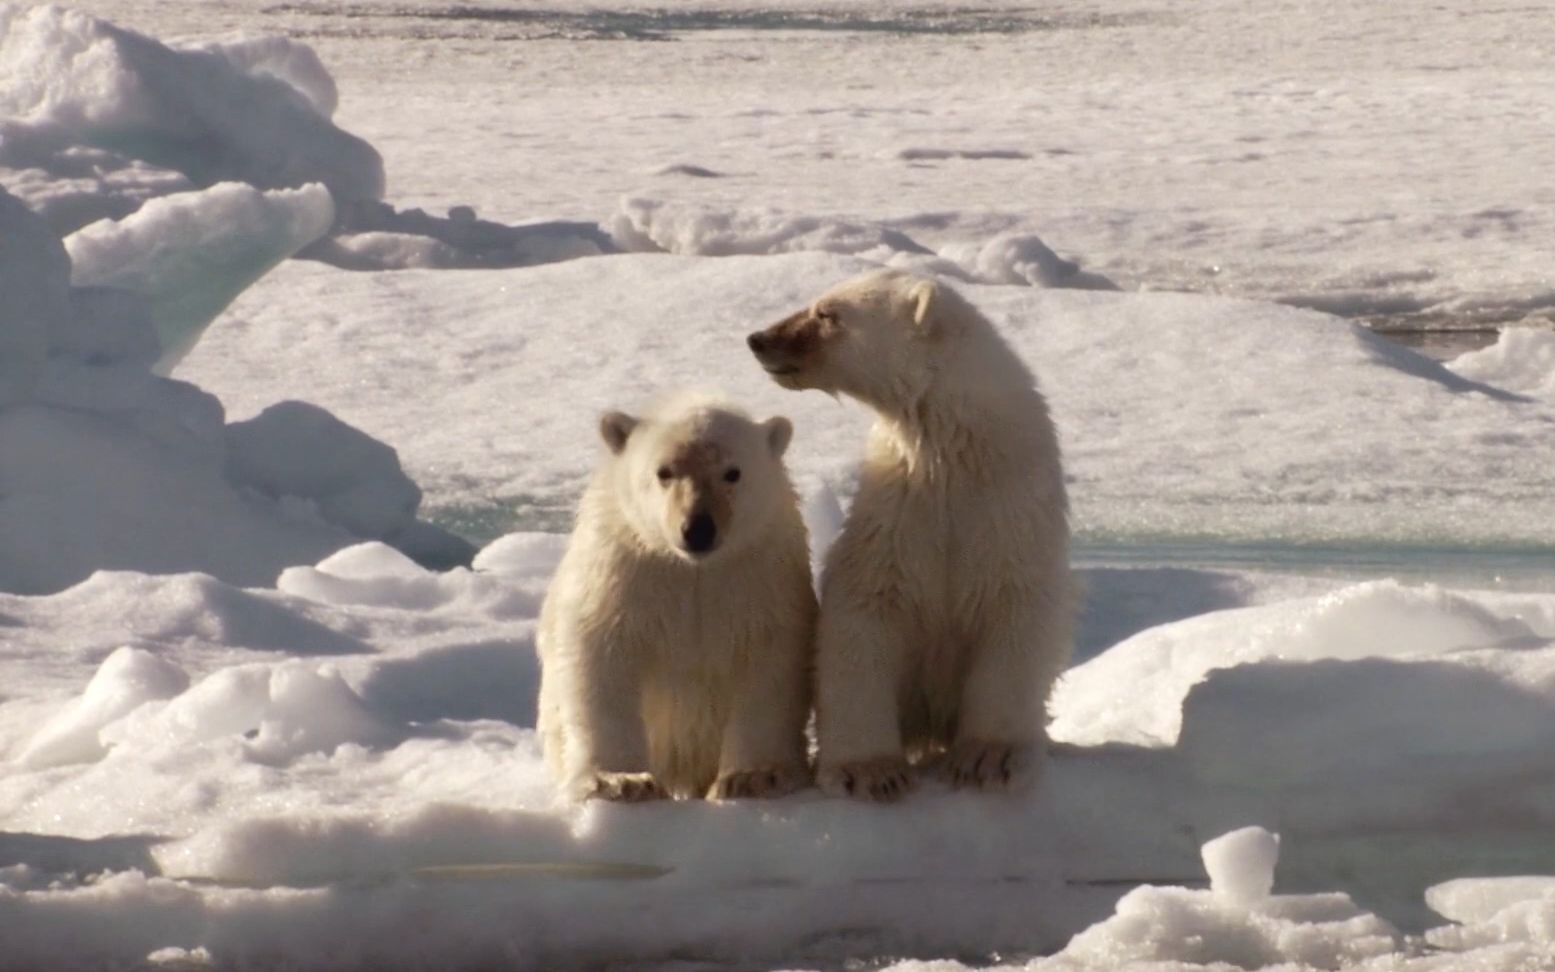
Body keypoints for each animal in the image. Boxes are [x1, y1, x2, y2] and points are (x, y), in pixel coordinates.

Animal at [538, 390, 814, 802]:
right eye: (664, 472)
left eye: (732, 472)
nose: (698, 528)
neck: (694, 569)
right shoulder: (627, 574)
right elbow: (602, 657)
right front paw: (620, 781)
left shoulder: (758, 577)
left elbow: (769, 661)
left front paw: (753, 777)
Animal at [749, 269, 1069, 802]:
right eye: (821, 301)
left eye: (828, 313)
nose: (758, 339)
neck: (957, 456)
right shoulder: (896, 514)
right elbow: (862, 615)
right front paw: (868, 771)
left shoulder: (1009, 513)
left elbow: (1014, 615)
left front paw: (987, 759)